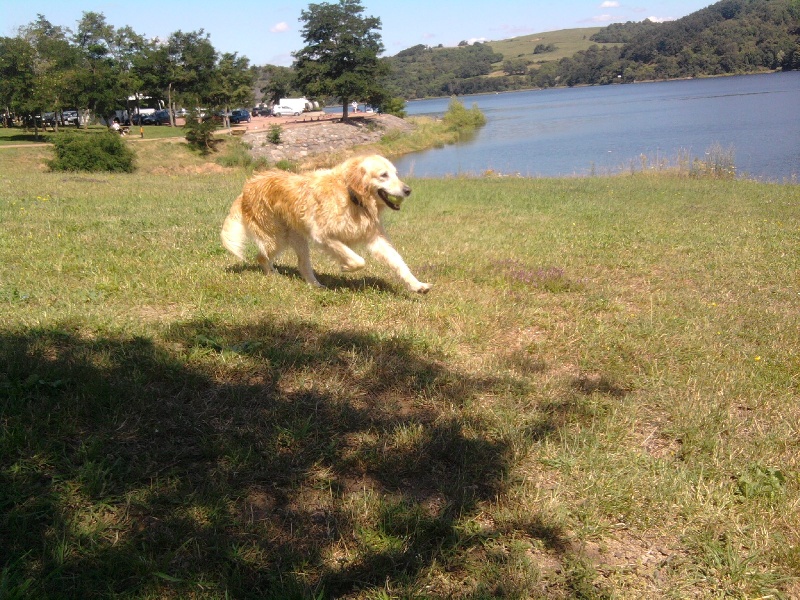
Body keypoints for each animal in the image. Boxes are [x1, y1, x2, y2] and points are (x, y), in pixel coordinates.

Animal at [219, 155, 432, 292]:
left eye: (396, 173)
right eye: (383, 175)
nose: (408, 190)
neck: (351, 195)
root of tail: (247, 187)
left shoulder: (375, 238)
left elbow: (398, 263)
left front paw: (417, 285)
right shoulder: (323, 236)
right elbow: (358, 259)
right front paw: (346, 267)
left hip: (297, 240)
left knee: (302, 265)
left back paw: (315, 285)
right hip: (276, 238)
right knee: (261, 257)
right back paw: (273, 276)